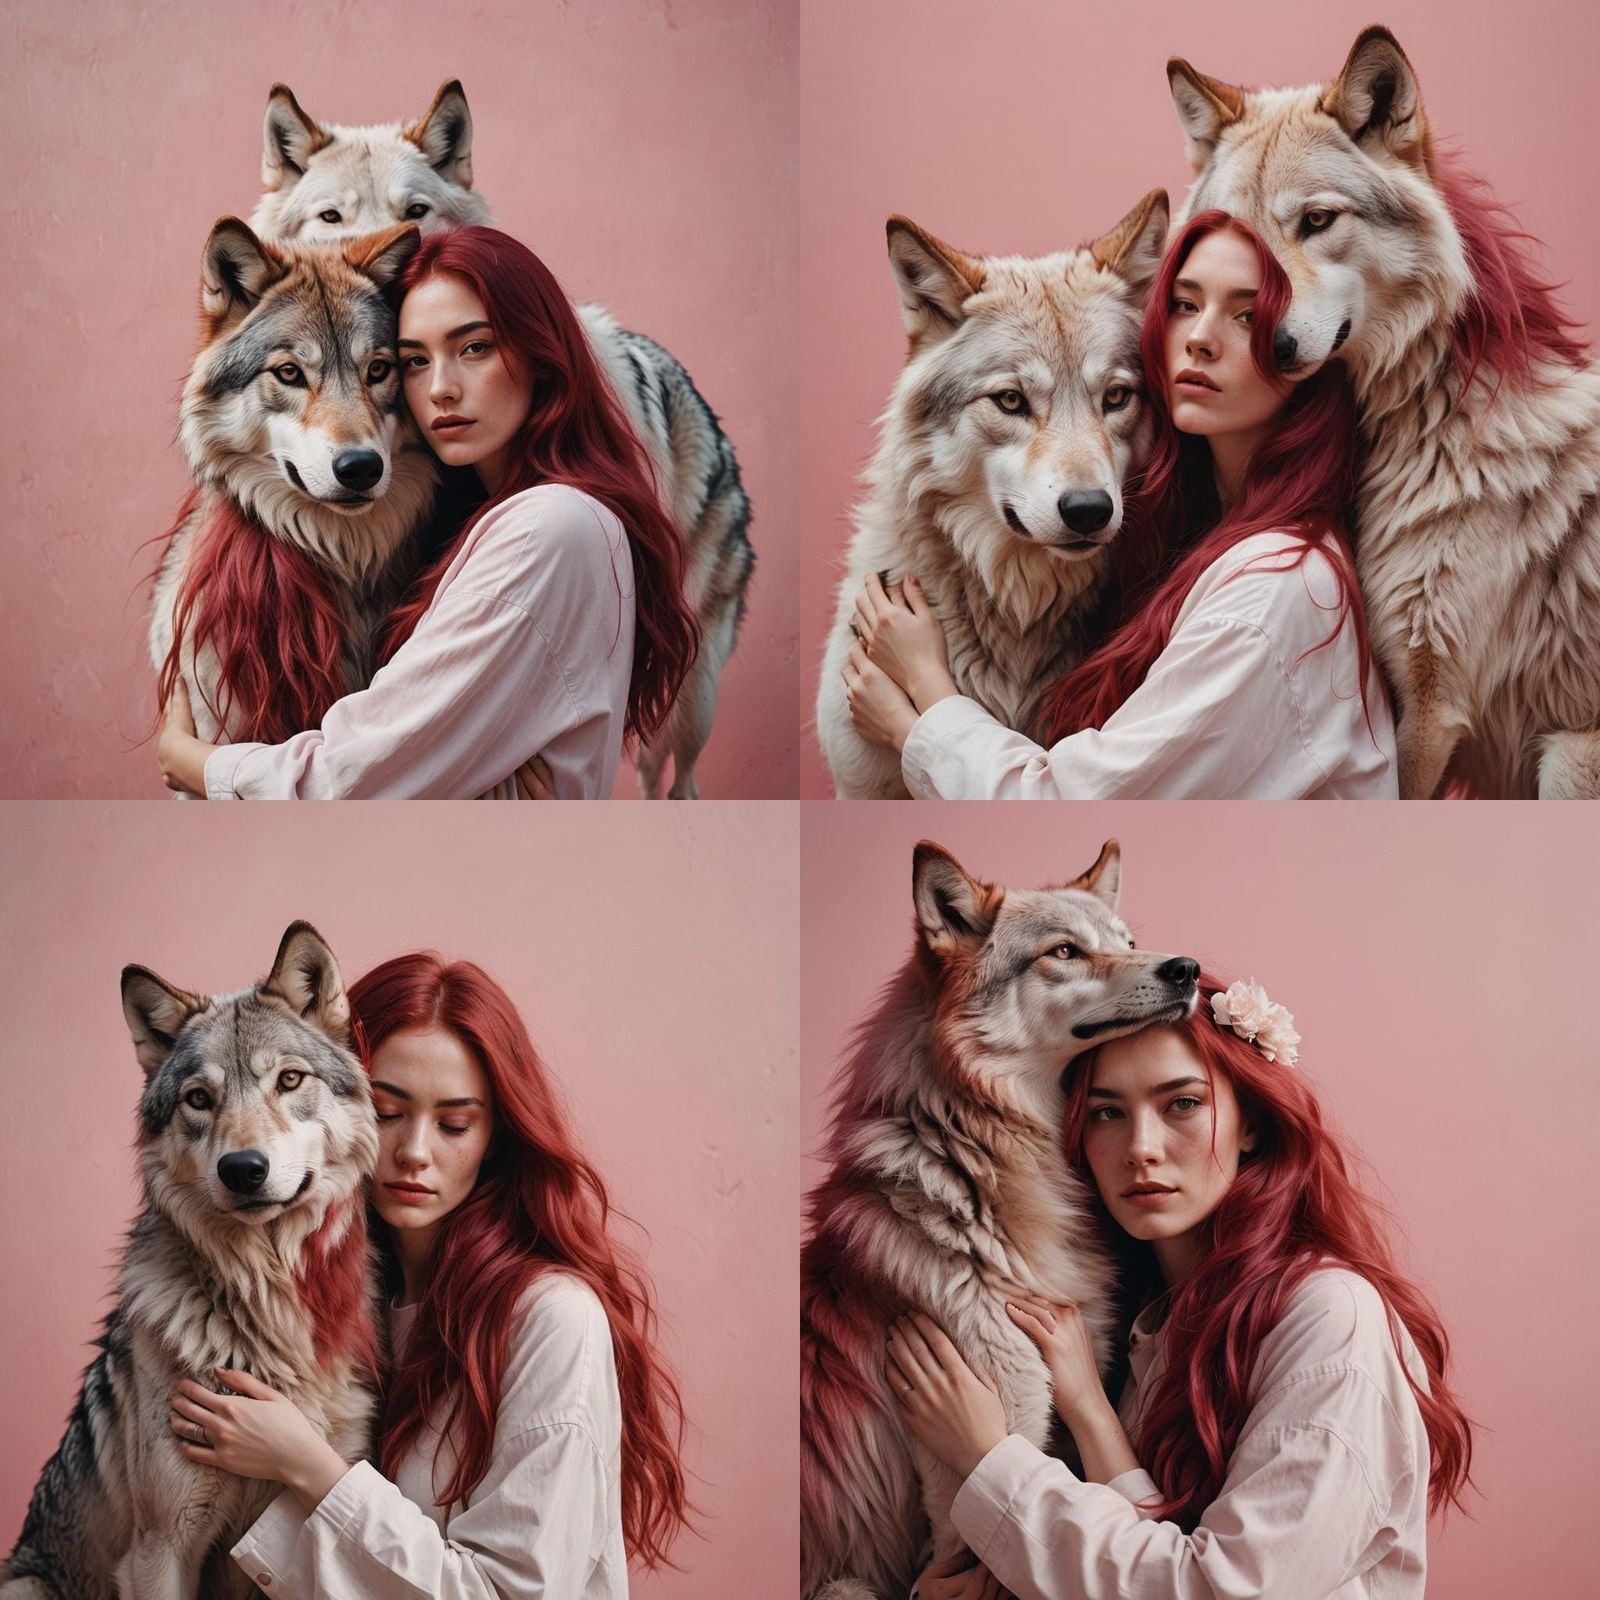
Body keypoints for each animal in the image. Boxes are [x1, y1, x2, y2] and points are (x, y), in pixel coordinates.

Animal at [1164, 21, 1600, 796]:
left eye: (1315, 221)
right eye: (1227, 236)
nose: (1264, 345)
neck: (1435, 421)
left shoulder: (1429, 707)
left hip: (1569, 757)